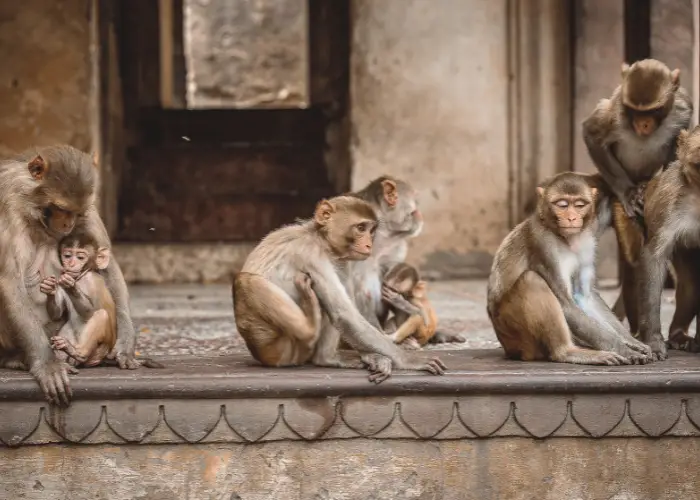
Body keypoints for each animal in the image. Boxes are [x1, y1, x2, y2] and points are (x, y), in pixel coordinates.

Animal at [232, 195, 446, 382]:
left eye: (371, 230)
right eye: (361, 228)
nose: (369, 245)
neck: (319, 238)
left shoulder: (342, 259)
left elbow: (343, 310)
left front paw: (372, 356)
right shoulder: (312, 255)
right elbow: (344, 313)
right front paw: (410, 360)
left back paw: (326, 358)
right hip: (276, 348)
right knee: (245, 282)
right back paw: (311, 327)